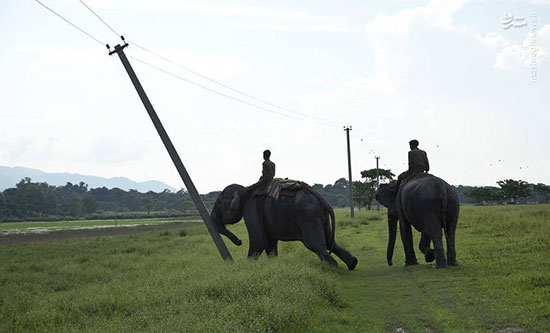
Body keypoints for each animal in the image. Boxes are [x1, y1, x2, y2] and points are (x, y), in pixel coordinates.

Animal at [210, 184, 358, 270]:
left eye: (219, 204)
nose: (239, 241)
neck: (246, 189)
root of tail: (322, 200)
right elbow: (269, 244)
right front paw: (274, 265)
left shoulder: (251, 209)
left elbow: (259, 241)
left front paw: (246, 268)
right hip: (320, 217)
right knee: (329, 242)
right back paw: (352, 264)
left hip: (308, 216)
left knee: (315, 245)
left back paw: (332, 269)